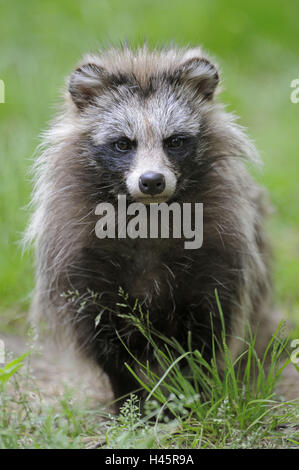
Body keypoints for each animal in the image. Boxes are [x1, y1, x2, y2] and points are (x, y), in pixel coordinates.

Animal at [27, 46, 274, 410]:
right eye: (122, 144)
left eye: (175, 141)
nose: (152, 181)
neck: (147, 215)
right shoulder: (79, 250)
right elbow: (104, 337)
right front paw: (128, 398)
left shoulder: (218, 241)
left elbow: (205, 328)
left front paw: (189, 392)